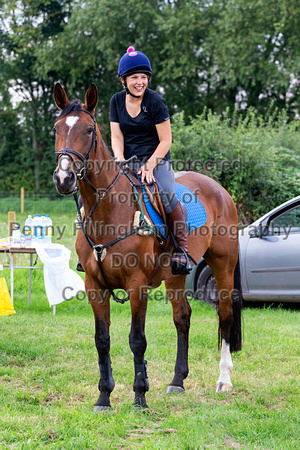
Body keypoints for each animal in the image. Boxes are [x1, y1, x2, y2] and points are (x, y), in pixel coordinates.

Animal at [53, 82, 241, 410]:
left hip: (223, 265)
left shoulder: (137, 284)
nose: (63, 177)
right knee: (182, 317)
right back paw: (177, 381)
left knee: (225, 314)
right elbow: (102, 340)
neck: (108, 212)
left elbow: (137, 340)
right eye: (56, 128)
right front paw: (104, 397)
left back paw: (224, 380)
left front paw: (140, 395)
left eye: (89, 130)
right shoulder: (95, 286)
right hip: (176, 275)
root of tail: (218, 188)